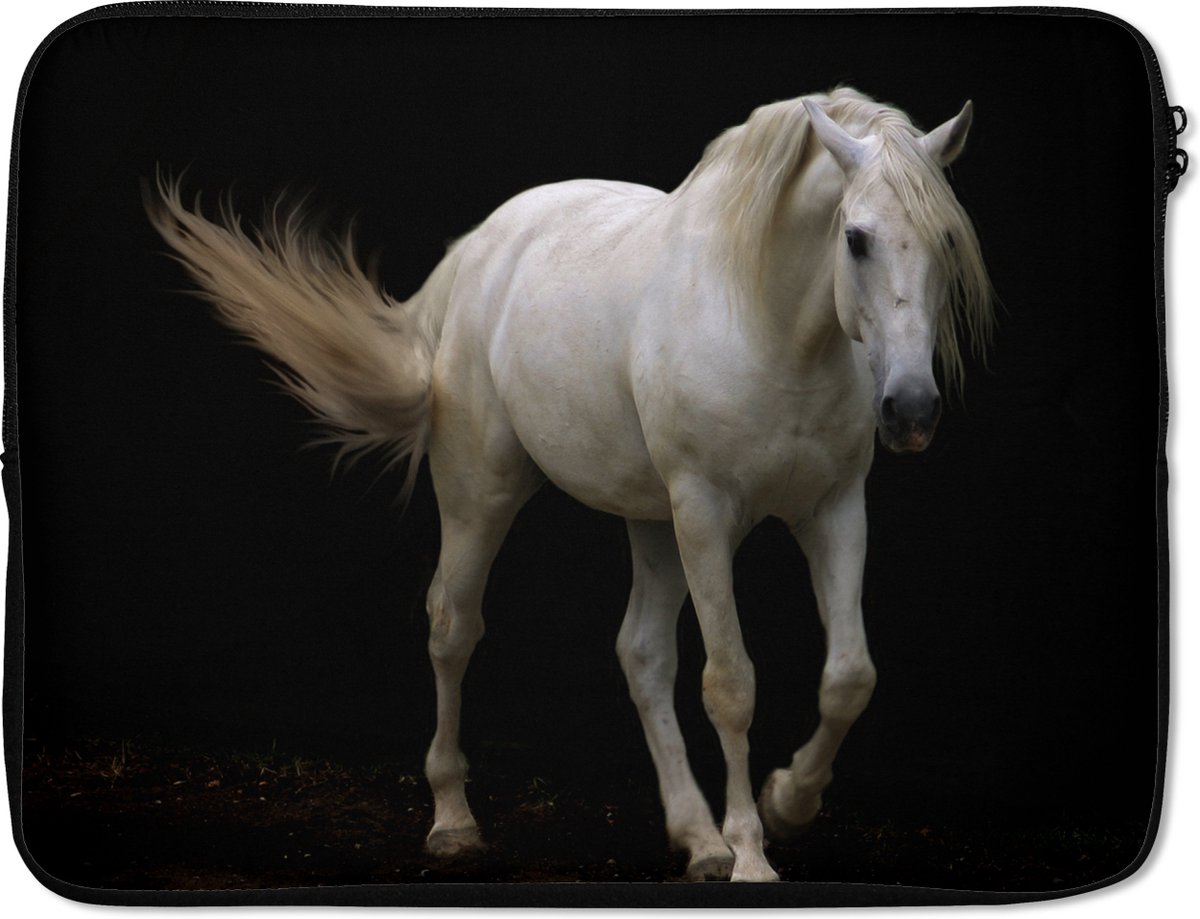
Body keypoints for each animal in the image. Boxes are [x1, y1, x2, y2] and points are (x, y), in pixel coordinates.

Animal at [145, 86, 993, 883]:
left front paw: (789, 802)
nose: (911, 409)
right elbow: (731, 683)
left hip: (651, 520)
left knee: (643, 653)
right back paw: (453, 818)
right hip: (486, 495)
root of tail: (479, 249)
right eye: (856, 238)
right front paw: (754, 851)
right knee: (453, 626)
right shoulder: (706, 514)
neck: (766, 319)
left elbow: (849, 675)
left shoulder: (834, 510)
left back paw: (696, 836)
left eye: (947, 240)